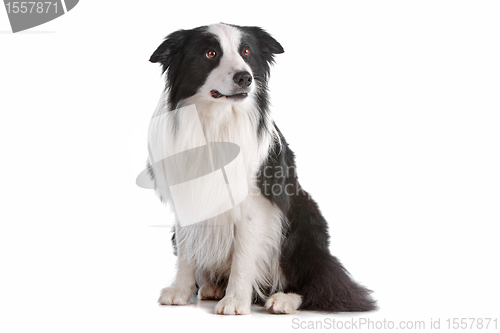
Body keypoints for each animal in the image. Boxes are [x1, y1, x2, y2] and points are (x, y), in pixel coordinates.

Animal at [145, 23, 376, 314]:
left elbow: (244, 256)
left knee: (317, 283)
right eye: (210, 53)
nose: (245, 78)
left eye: (246, 52)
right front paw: (180, 291)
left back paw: (282, 299)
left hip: (303, 222)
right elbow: (188, 249)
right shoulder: (187, 198)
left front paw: (235, 301)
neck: (217, 121)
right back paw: (213, 286)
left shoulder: (256, 206)